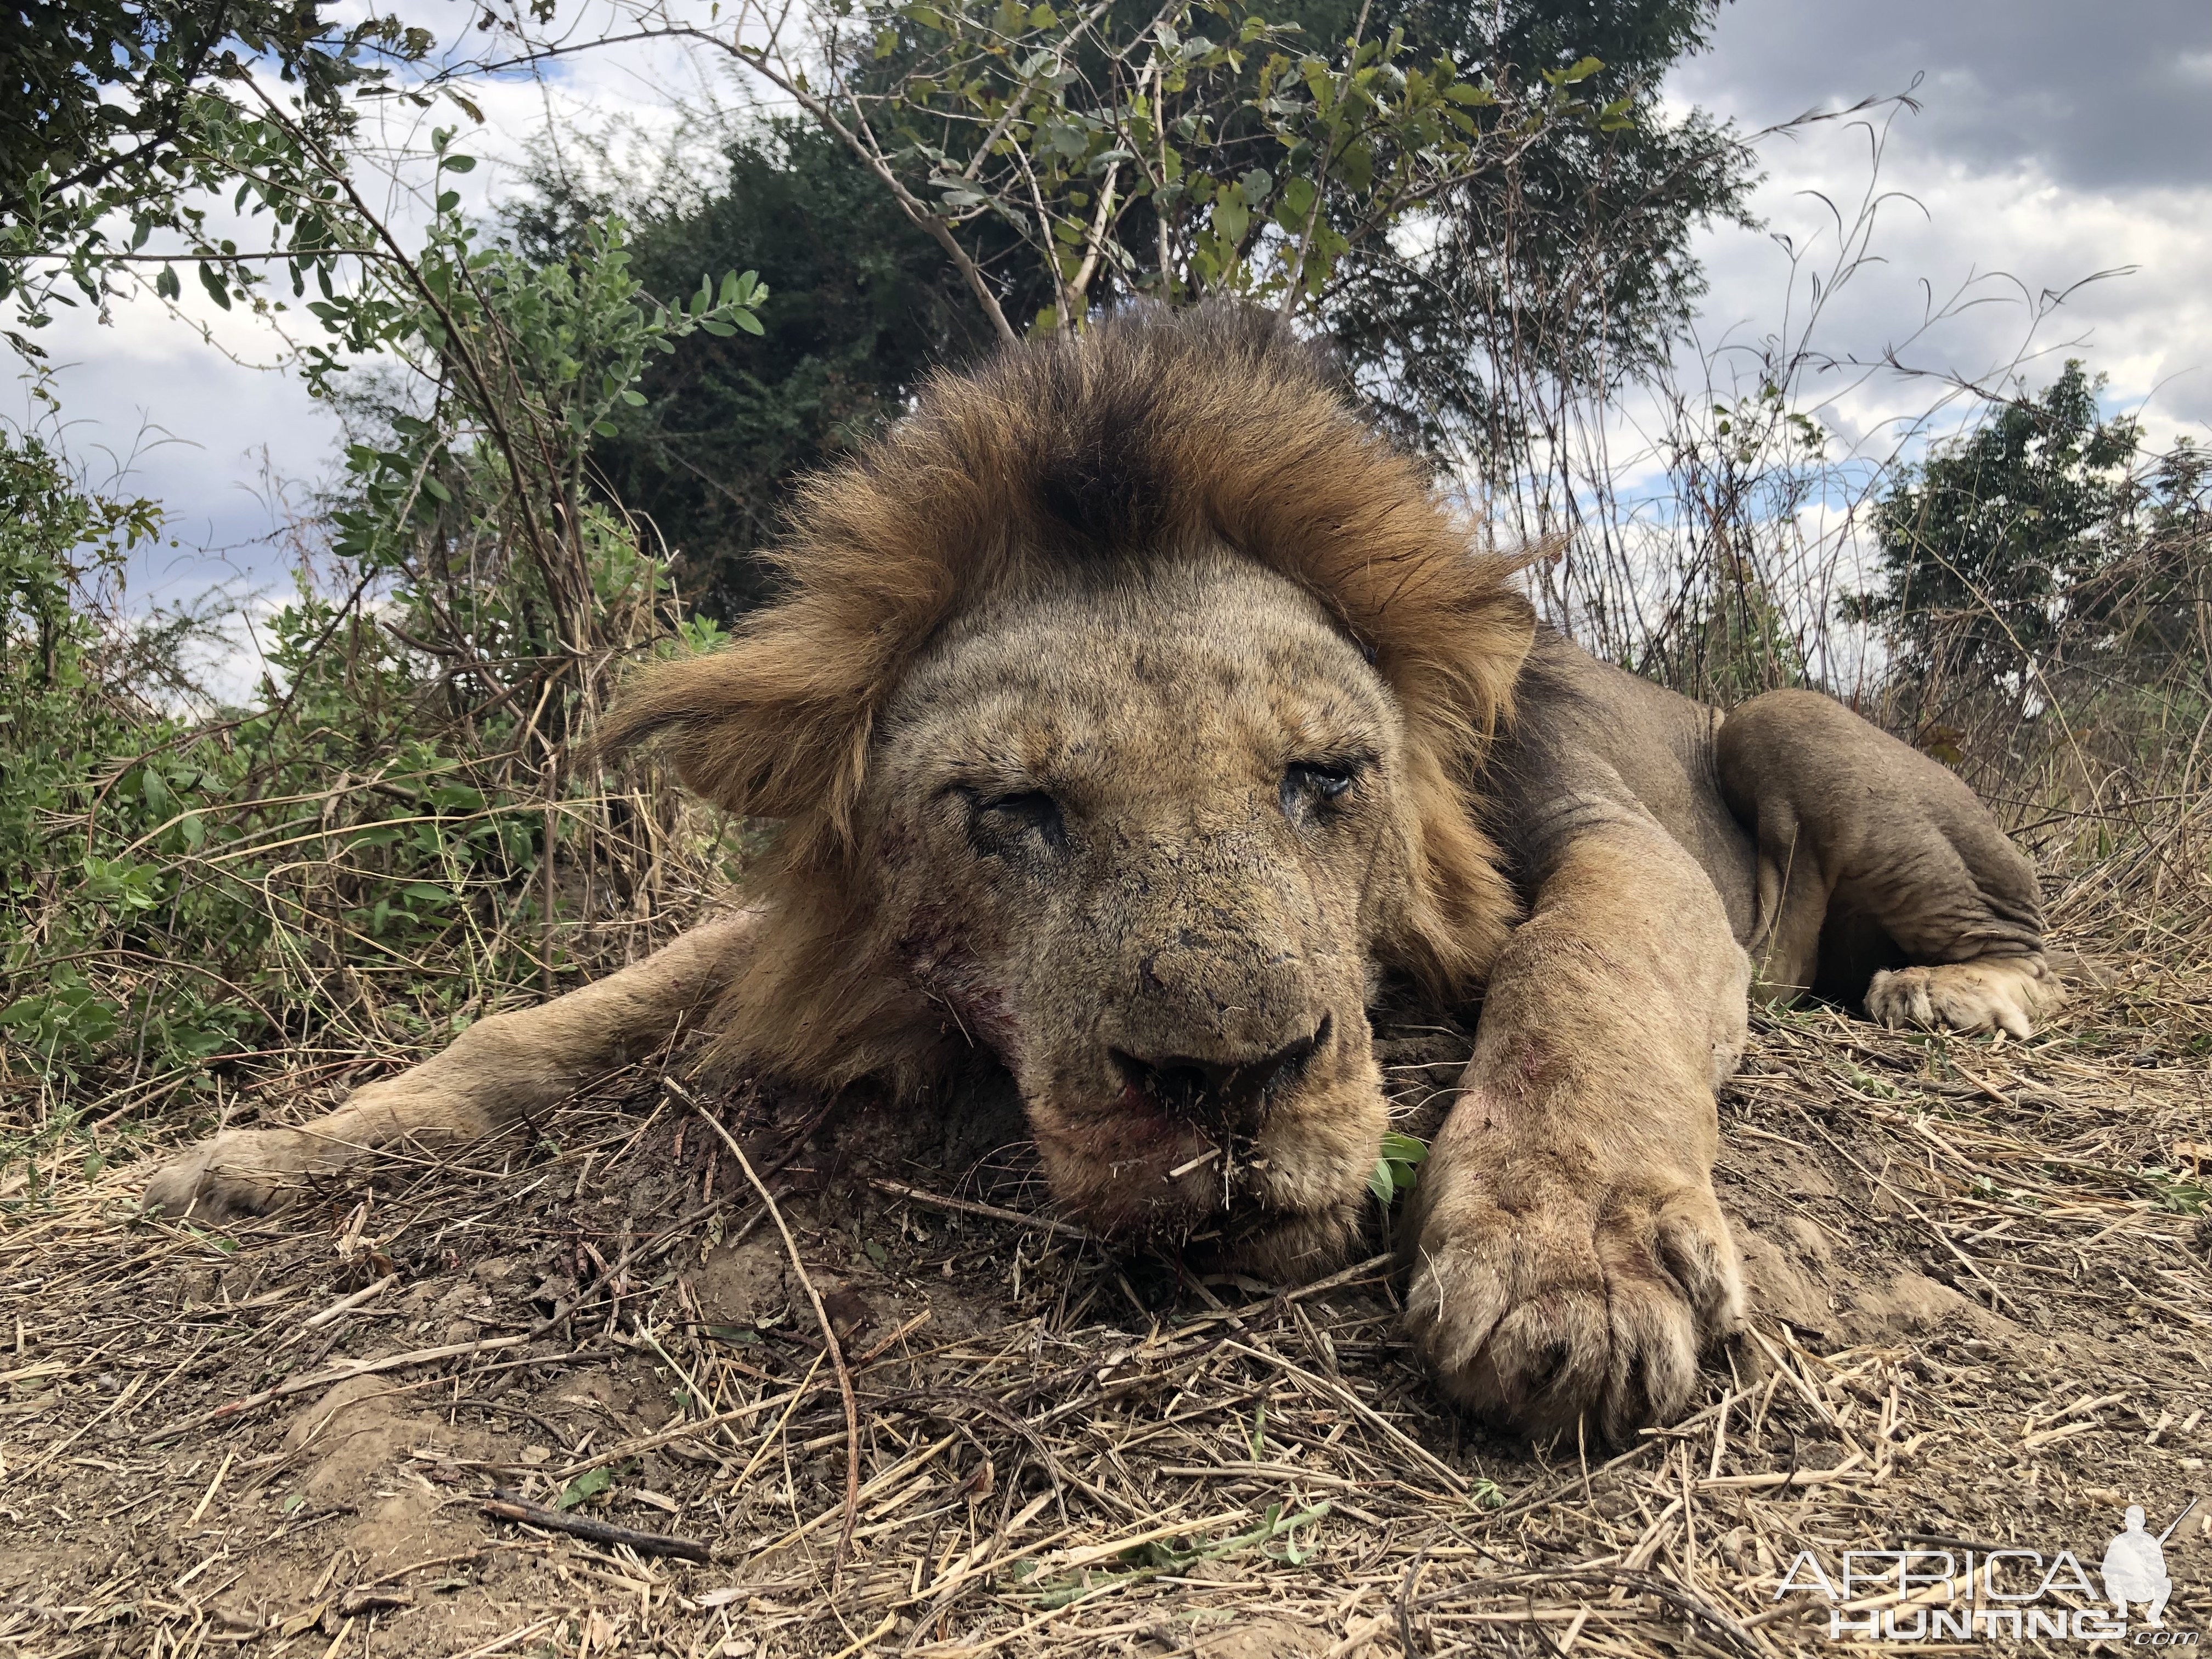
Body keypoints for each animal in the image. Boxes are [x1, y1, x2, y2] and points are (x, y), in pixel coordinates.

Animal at [147, 309, 2061, 1442]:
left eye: (1323, 779)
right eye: (1016, 810)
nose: (1227, 1083)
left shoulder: (1607, 840)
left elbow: (1581, 975)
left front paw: (1568, 1269)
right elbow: (546, 1020)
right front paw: (267, 1154)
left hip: (1787, 719)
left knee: (2013, 923)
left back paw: (1958, 991)